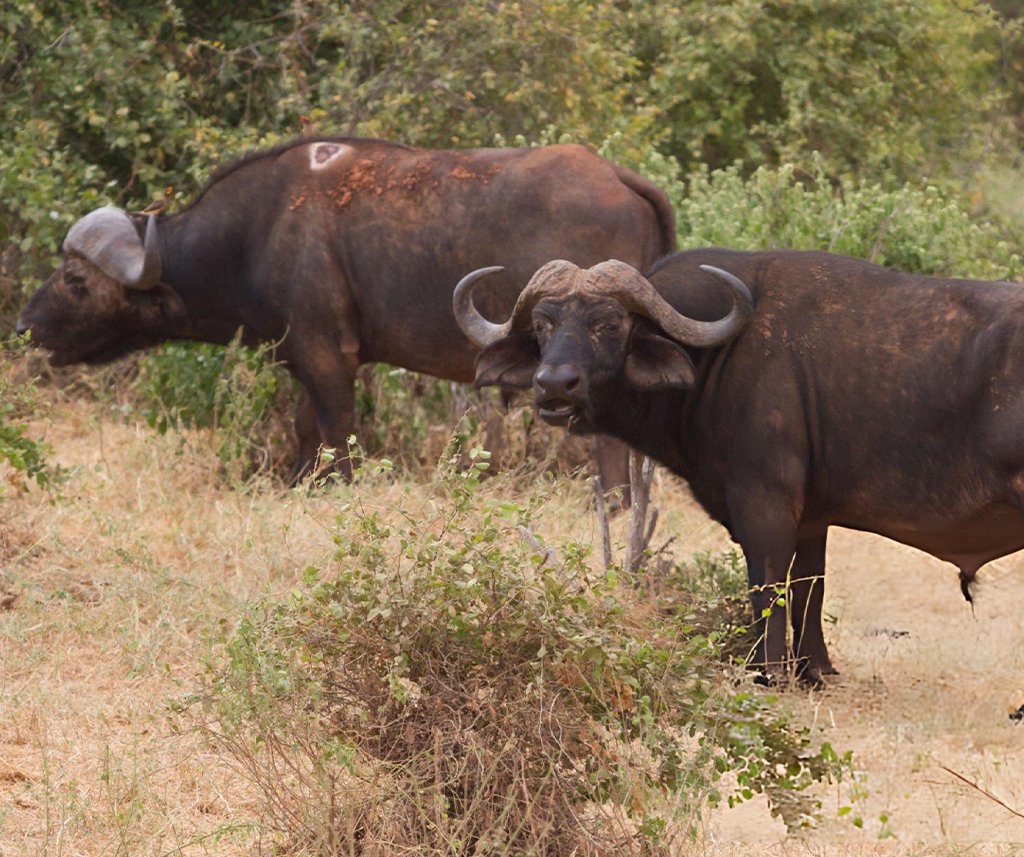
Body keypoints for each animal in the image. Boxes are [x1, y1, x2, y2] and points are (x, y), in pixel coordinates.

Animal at [18, 137, 676, 485]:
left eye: (75, 279)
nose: (24, 327)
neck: (256, 233)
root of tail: (619, 177)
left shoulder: (328, 357)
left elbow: (336, 435)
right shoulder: (304, 360)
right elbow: (307, 432)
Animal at [453, 250, 1024, 685]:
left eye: (608, 325)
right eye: (543, 325)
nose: (554, 385)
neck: (717, 357)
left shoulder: (764, 507)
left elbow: (765, 588)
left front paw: (766, 672)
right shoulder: (811, 519)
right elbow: (808, 589)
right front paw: (813, 670)